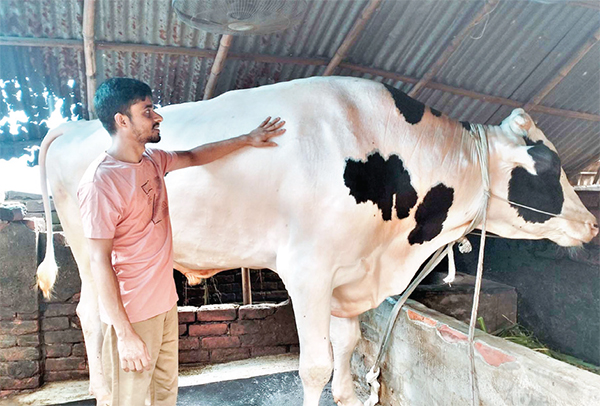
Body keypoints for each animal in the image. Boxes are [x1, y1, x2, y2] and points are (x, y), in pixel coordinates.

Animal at [37, 77, 596, 406]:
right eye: (547, 163)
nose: (591, 223)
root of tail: (74, 126)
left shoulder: (349, 273)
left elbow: (346, 347)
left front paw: (348, 394)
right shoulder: (307, 270)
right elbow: (315, 365)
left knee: (92, 311)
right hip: (87, 244)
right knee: (97, 315)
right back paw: (102, 391)